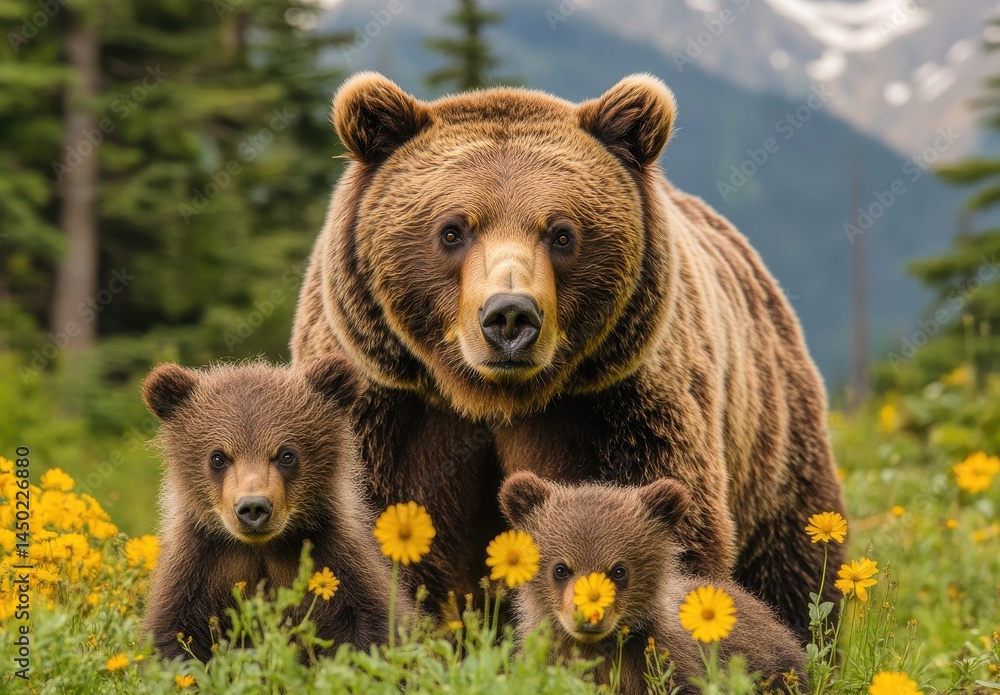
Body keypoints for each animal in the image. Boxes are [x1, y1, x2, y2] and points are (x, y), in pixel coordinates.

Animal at [141, 357, 410, 661]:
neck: (261, 548)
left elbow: (372, 629)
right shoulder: (199, 569)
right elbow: (173, 638)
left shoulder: (337, 560)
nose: (253, 507)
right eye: (218, 457)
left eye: (287, 455)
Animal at [290, 71, 846, 634]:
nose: (510, 316)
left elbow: (656, 520)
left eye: (561, 233)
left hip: (773, 438)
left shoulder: (615, 409)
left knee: (795, 560)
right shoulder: (392, 407)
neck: (492, 398)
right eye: (452, 230)